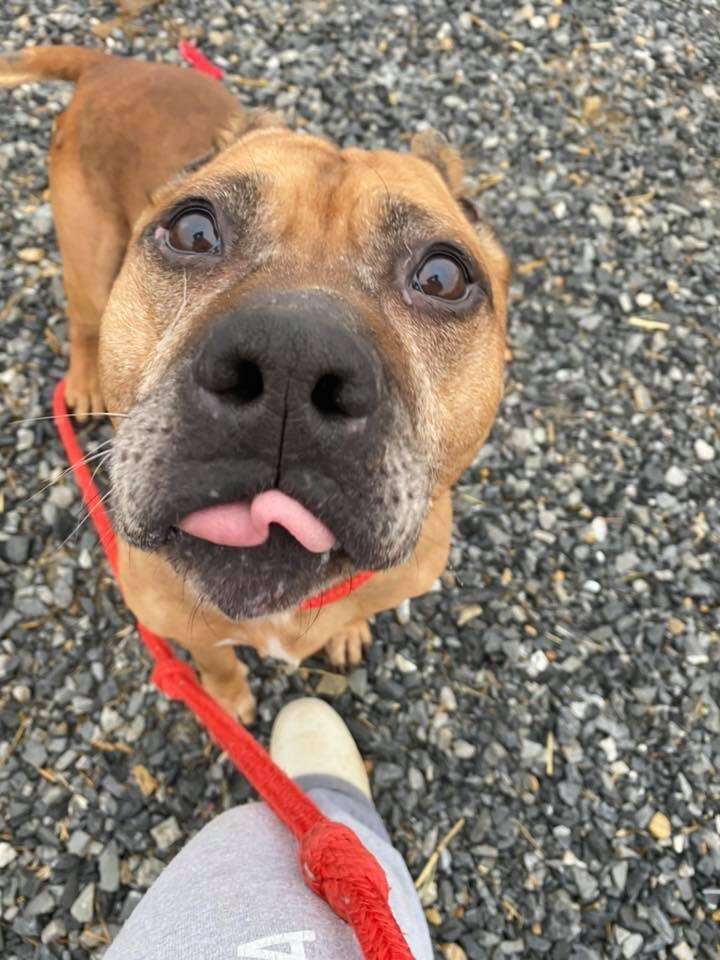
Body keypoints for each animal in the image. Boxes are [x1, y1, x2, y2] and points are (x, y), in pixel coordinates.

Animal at [2, 45, 510, 720]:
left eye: (442, 277)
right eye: (194, 231)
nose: (292, 358)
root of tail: (109, 65)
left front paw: (348, 631)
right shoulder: (171, 616)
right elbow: (215, 658)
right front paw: (228, 700)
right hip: (87, 254)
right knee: (83, 320)